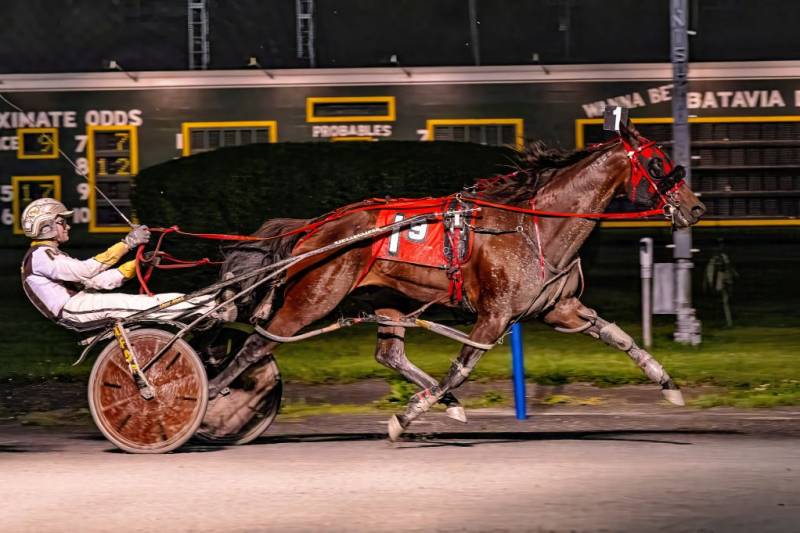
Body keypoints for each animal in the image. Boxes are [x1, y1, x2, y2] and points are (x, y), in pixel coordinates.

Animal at [212, 122, 708, 438]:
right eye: (659, 163)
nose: (696, 206)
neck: (533, 227)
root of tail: (315, 227)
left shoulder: (560, 309)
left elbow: (619, 337)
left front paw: (668, 384)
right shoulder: (494, 315)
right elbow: (462, 367)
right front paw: (405, 418)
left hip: (388, 298)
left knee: (388, 353)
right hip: (314, 298)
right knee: (258, 344)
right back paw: (216, 394)